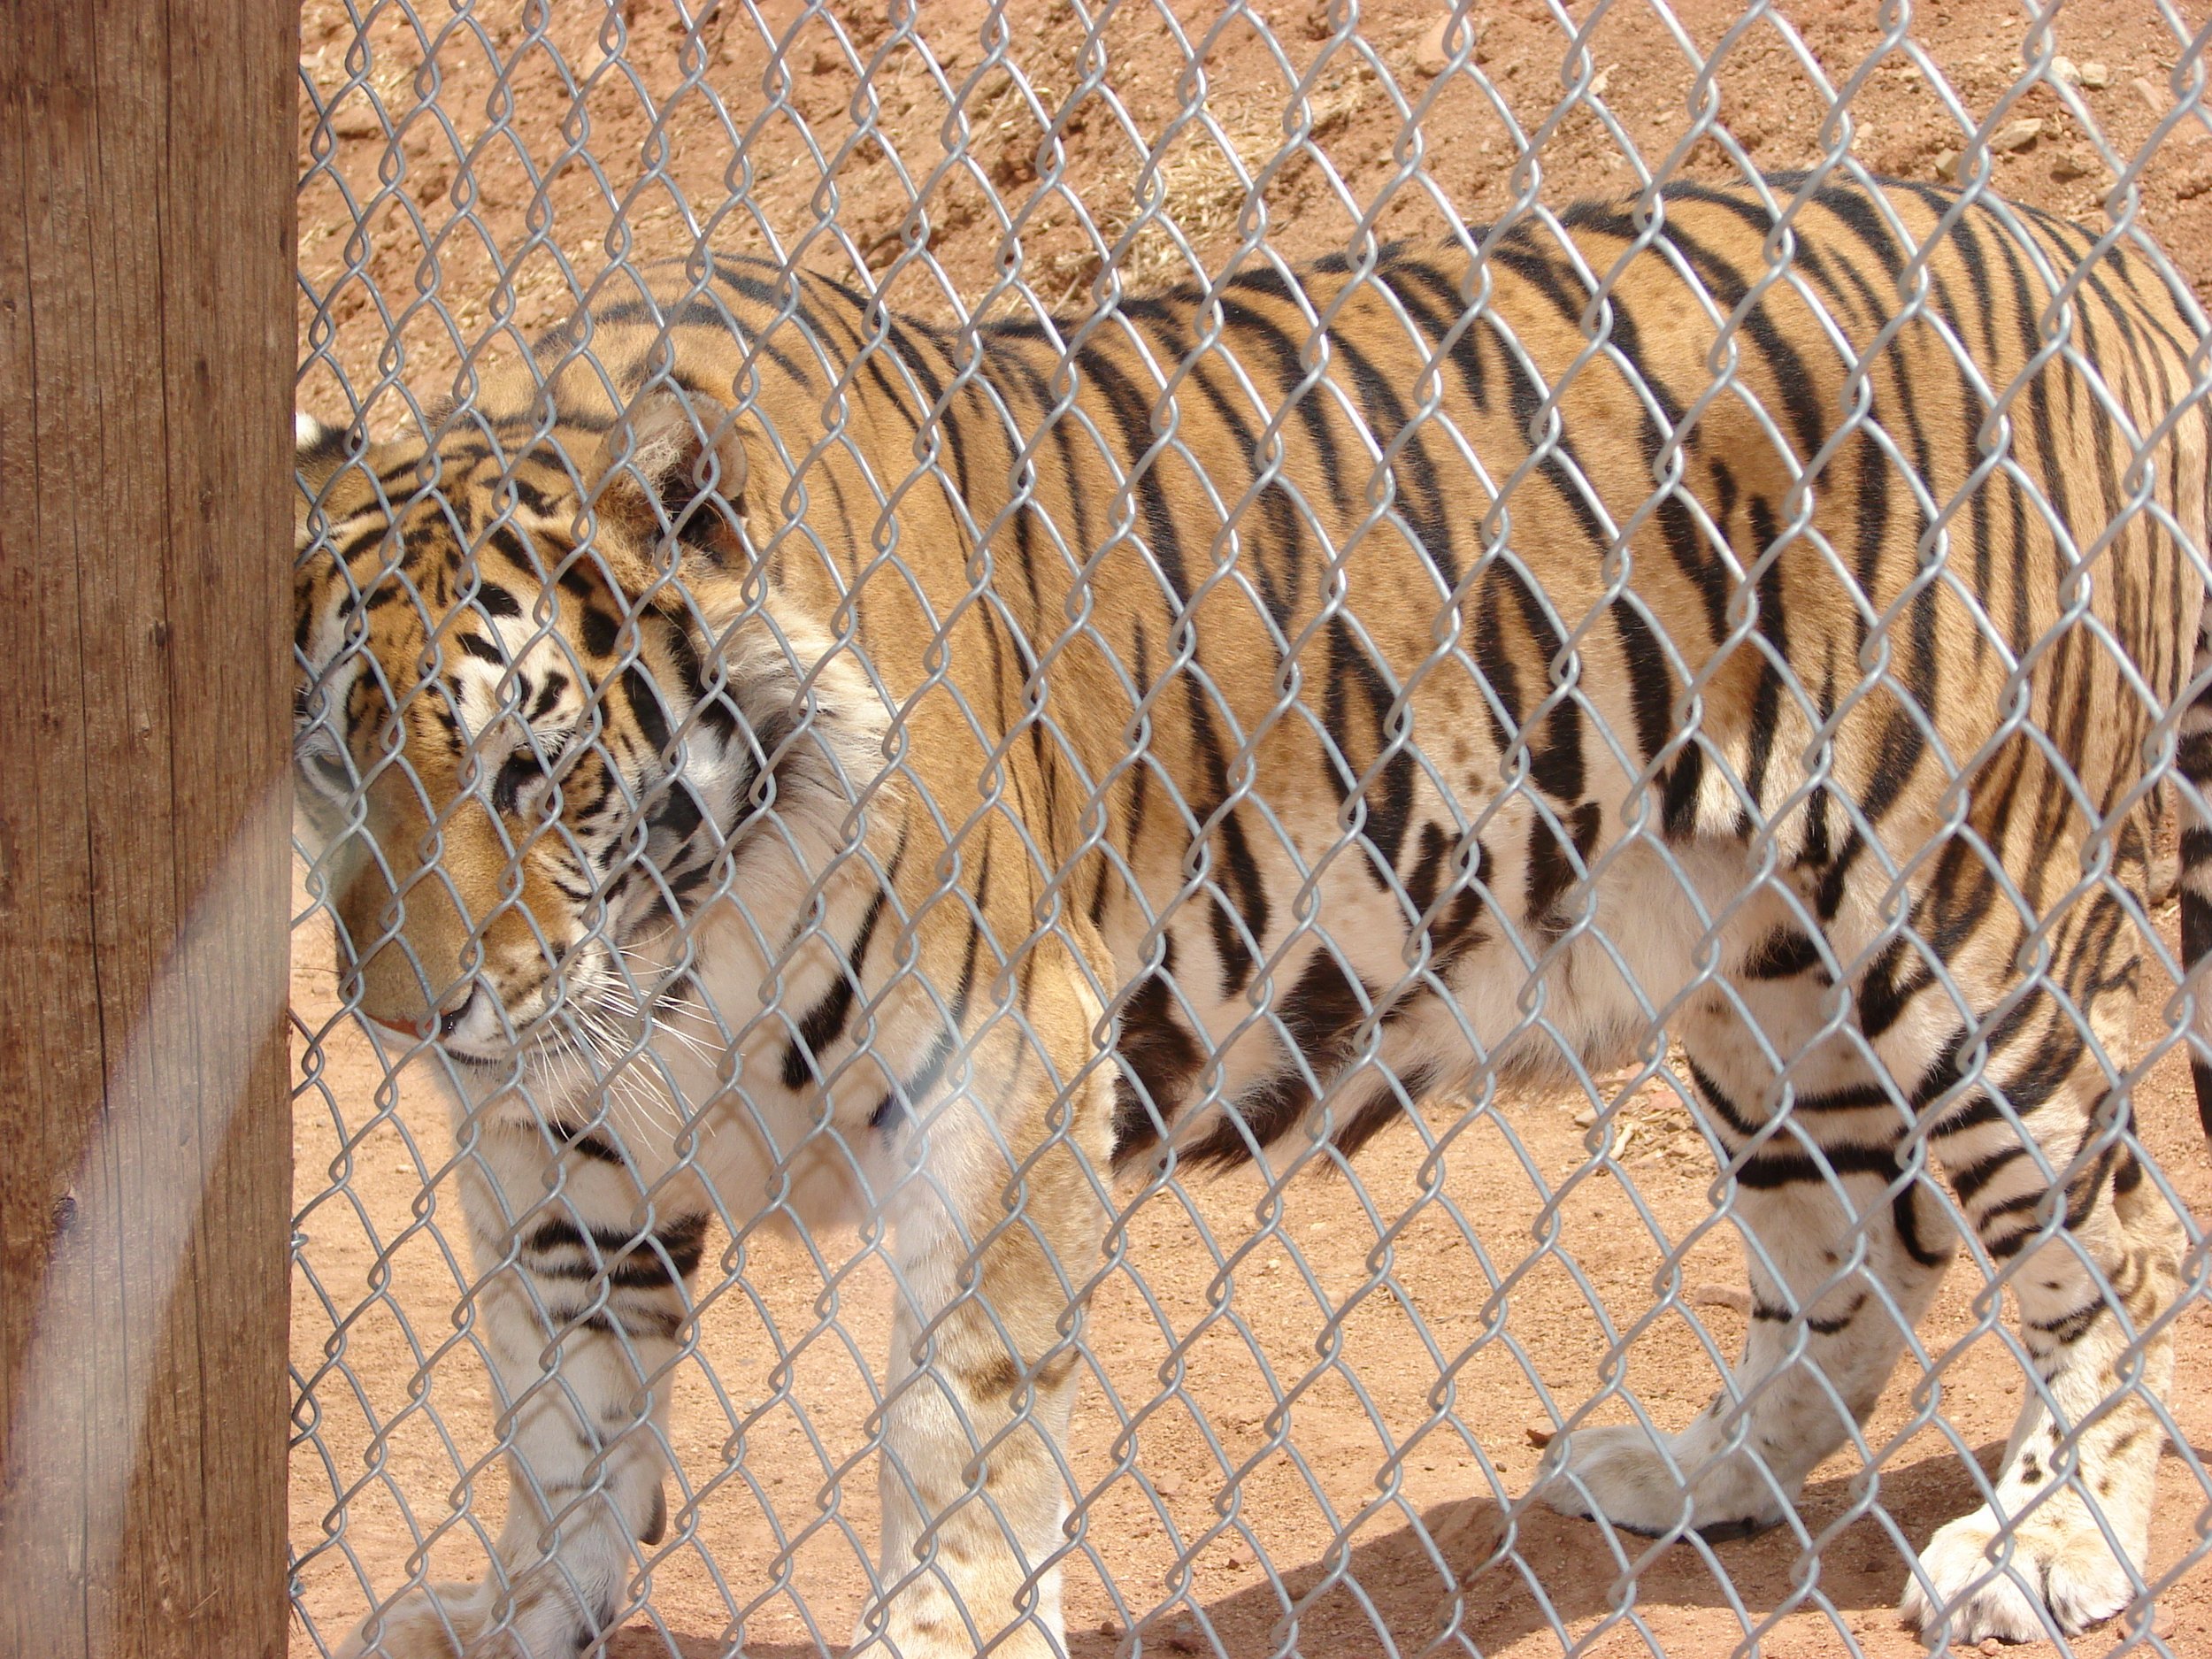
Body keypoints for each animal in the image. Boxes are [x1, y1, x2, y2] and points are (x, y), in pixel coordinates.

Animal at [295, 172, 2212, 1656]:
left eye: (530, 773)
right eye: (332, 758)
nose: (400, 1018)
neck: (677, 925)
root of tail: (2096, 249)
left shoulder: (1001, 1059)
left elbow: (960, 1414)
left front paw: (944, 1622)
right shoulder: (555, 1134)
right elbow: (561, 1414)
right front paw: (518, 1610)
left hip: (1959, 916)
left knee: (2113, 1235)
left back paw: (2050, 1549)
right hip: (1765, 983)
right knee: (1859, 1254)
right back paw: (1694, 1480)